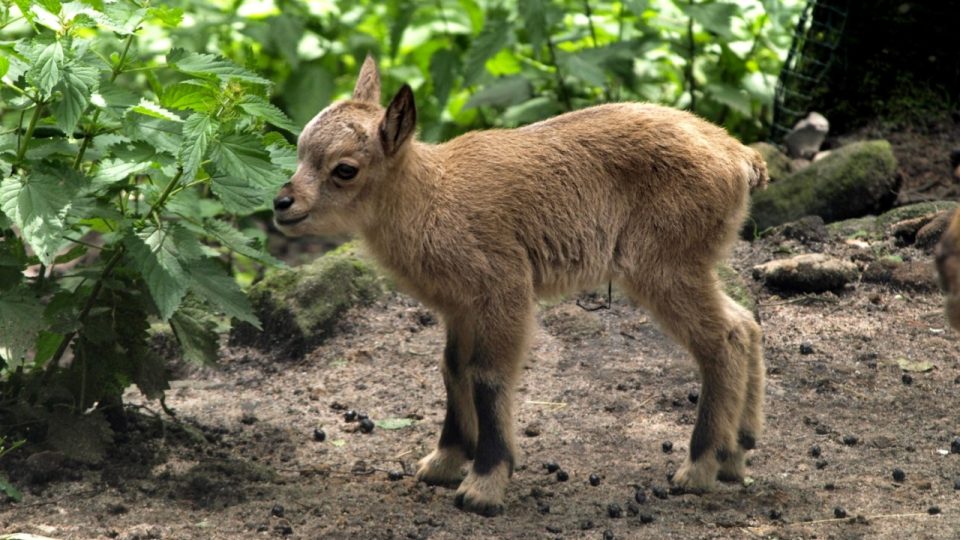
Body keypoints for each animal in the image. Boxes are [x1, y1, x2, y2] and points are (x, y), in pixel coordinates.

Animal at [274, 57, 768, 516]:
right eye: (300, 150)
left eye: (345, 169)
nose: (283, 203)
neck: (433, 199)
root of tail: (741, 160)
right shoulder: (460, 307)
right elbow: (452, 368)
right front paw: (442, 462)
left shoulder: (505, 287)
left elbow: (488, 376)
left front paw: (483, 485)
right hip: (690, 265)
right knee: (744, 323)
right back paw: (738, 452)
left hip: (663, 266)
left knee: (721, 339)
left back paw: (698, 467)